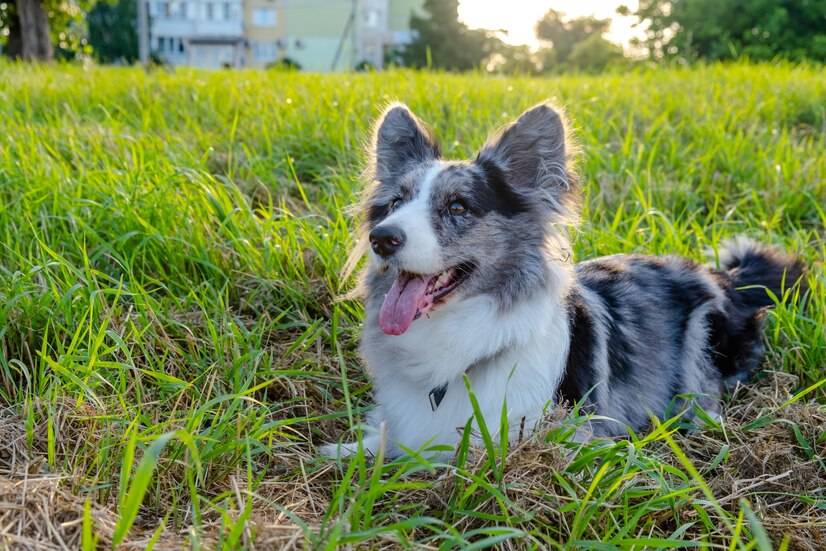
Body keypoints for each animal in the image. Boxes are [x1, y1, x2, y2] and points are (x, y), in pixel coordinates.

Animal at [318, 101, 800, 460]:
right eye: (395, 203)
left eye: (457, 207)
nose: (382, 238)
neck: (459, 340)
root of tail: (728, 276)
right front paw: (342, 450)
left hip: (706, 332)